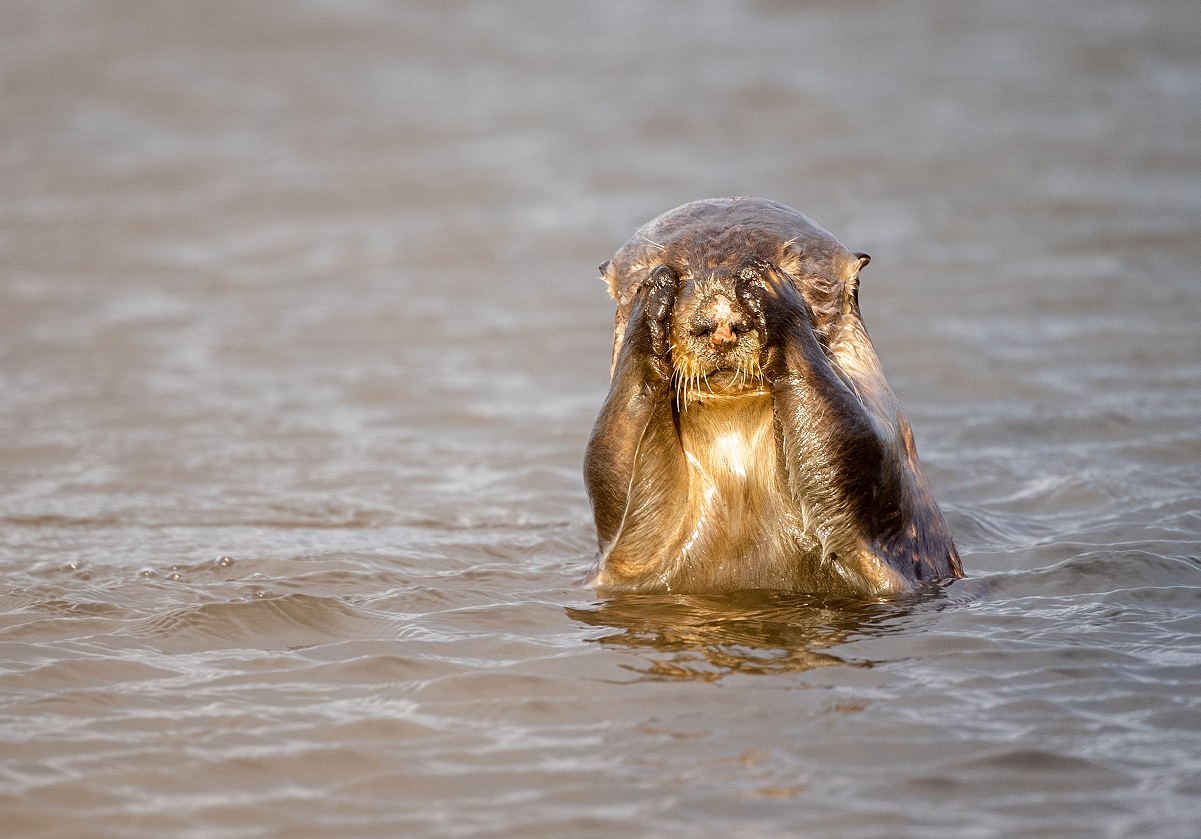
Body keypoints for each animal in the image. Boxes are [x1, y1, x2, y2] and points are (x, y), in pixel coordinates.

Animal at [586, 196, 960, 597]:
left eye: (792, 264)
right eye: (674, 269)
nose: (720, 323)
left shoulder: (887, 444)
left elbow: (848, 443)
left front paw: (768, 287)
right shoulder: (628, 549)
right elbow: (611, 458)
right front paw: (652, 296)